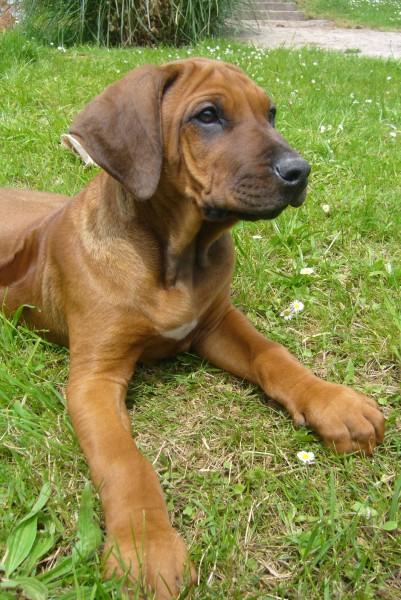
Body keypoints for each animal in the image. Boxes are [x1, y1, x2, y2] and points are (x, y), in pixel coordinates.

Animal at [0, 58, 382, 596]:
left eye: (271, 113)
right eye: (207, 115)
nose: (300, 171)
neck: (175, 259)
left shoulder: (217, 322)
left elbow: (273, 354)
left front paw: (333, 402)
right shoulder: (94, 378)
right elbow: (125, 460)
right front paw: (146, 548)